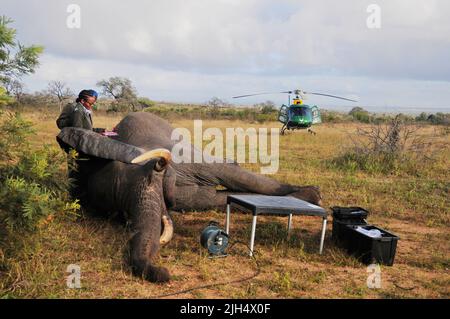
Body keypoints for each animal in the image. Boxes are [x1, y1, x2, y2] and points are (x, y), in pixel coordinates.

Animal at [56, 112, 322, 282]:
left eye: (158, 168)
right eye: (121, 213)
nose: (163, 272)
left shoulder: (178, 155)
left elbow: (230, 175)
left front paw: (313, 196)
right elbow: (209, 198)